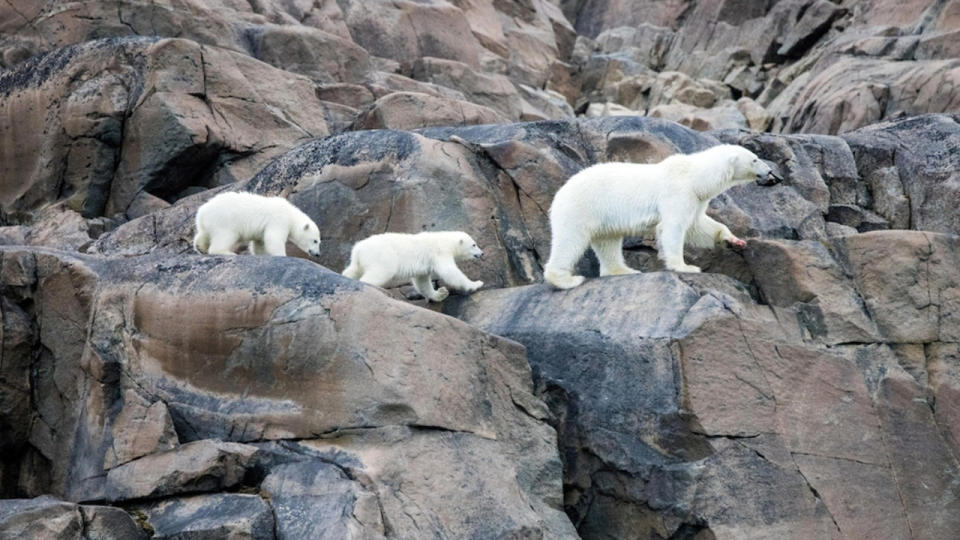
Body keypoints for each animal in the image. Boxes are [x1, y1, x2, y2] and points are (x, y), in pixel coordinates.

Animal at [194, 191, 322, 256]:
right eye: (315, 241)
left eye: (319, 242)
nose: (317, 254)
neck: (291, 214)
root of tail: (202, 211)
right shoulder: (279, 220)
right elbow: (274, 238)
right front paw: (282, 255)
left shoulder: (262, 230)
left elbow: (260, 242)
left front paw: (261, 253)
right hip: (225, 219)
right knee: (225, 236)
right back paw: (226, 252)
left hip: (207, 222)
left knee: (203, 234)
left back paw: (200, 248)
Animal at [342, 231, 484, 302]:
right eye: (474, 244)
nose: (482, 253)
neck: (446, 240)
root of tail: (358, 249)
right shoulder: (440, 252)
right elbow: (450, 272)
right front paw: (476, 284)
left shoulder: (425, 264)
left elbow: (422, 281)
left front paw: (440, 293)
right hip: (382, 256)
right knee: (380, 272)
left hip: (359, 261)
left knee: (352, 270)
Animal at [544, 142, 784, 286]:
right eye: (754, 159)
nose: (771, 172)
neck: (695, 176)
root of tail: (560, 193)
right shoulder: (678, 192)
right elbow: (674, 228)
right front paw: (686, 266)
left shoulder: (696, 198)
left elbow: (698, 225)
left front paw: (734, 239)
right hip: (581, 207)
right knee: (570, 240)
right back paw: (566, 279)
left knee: (608, 241)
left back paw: (624, 270)